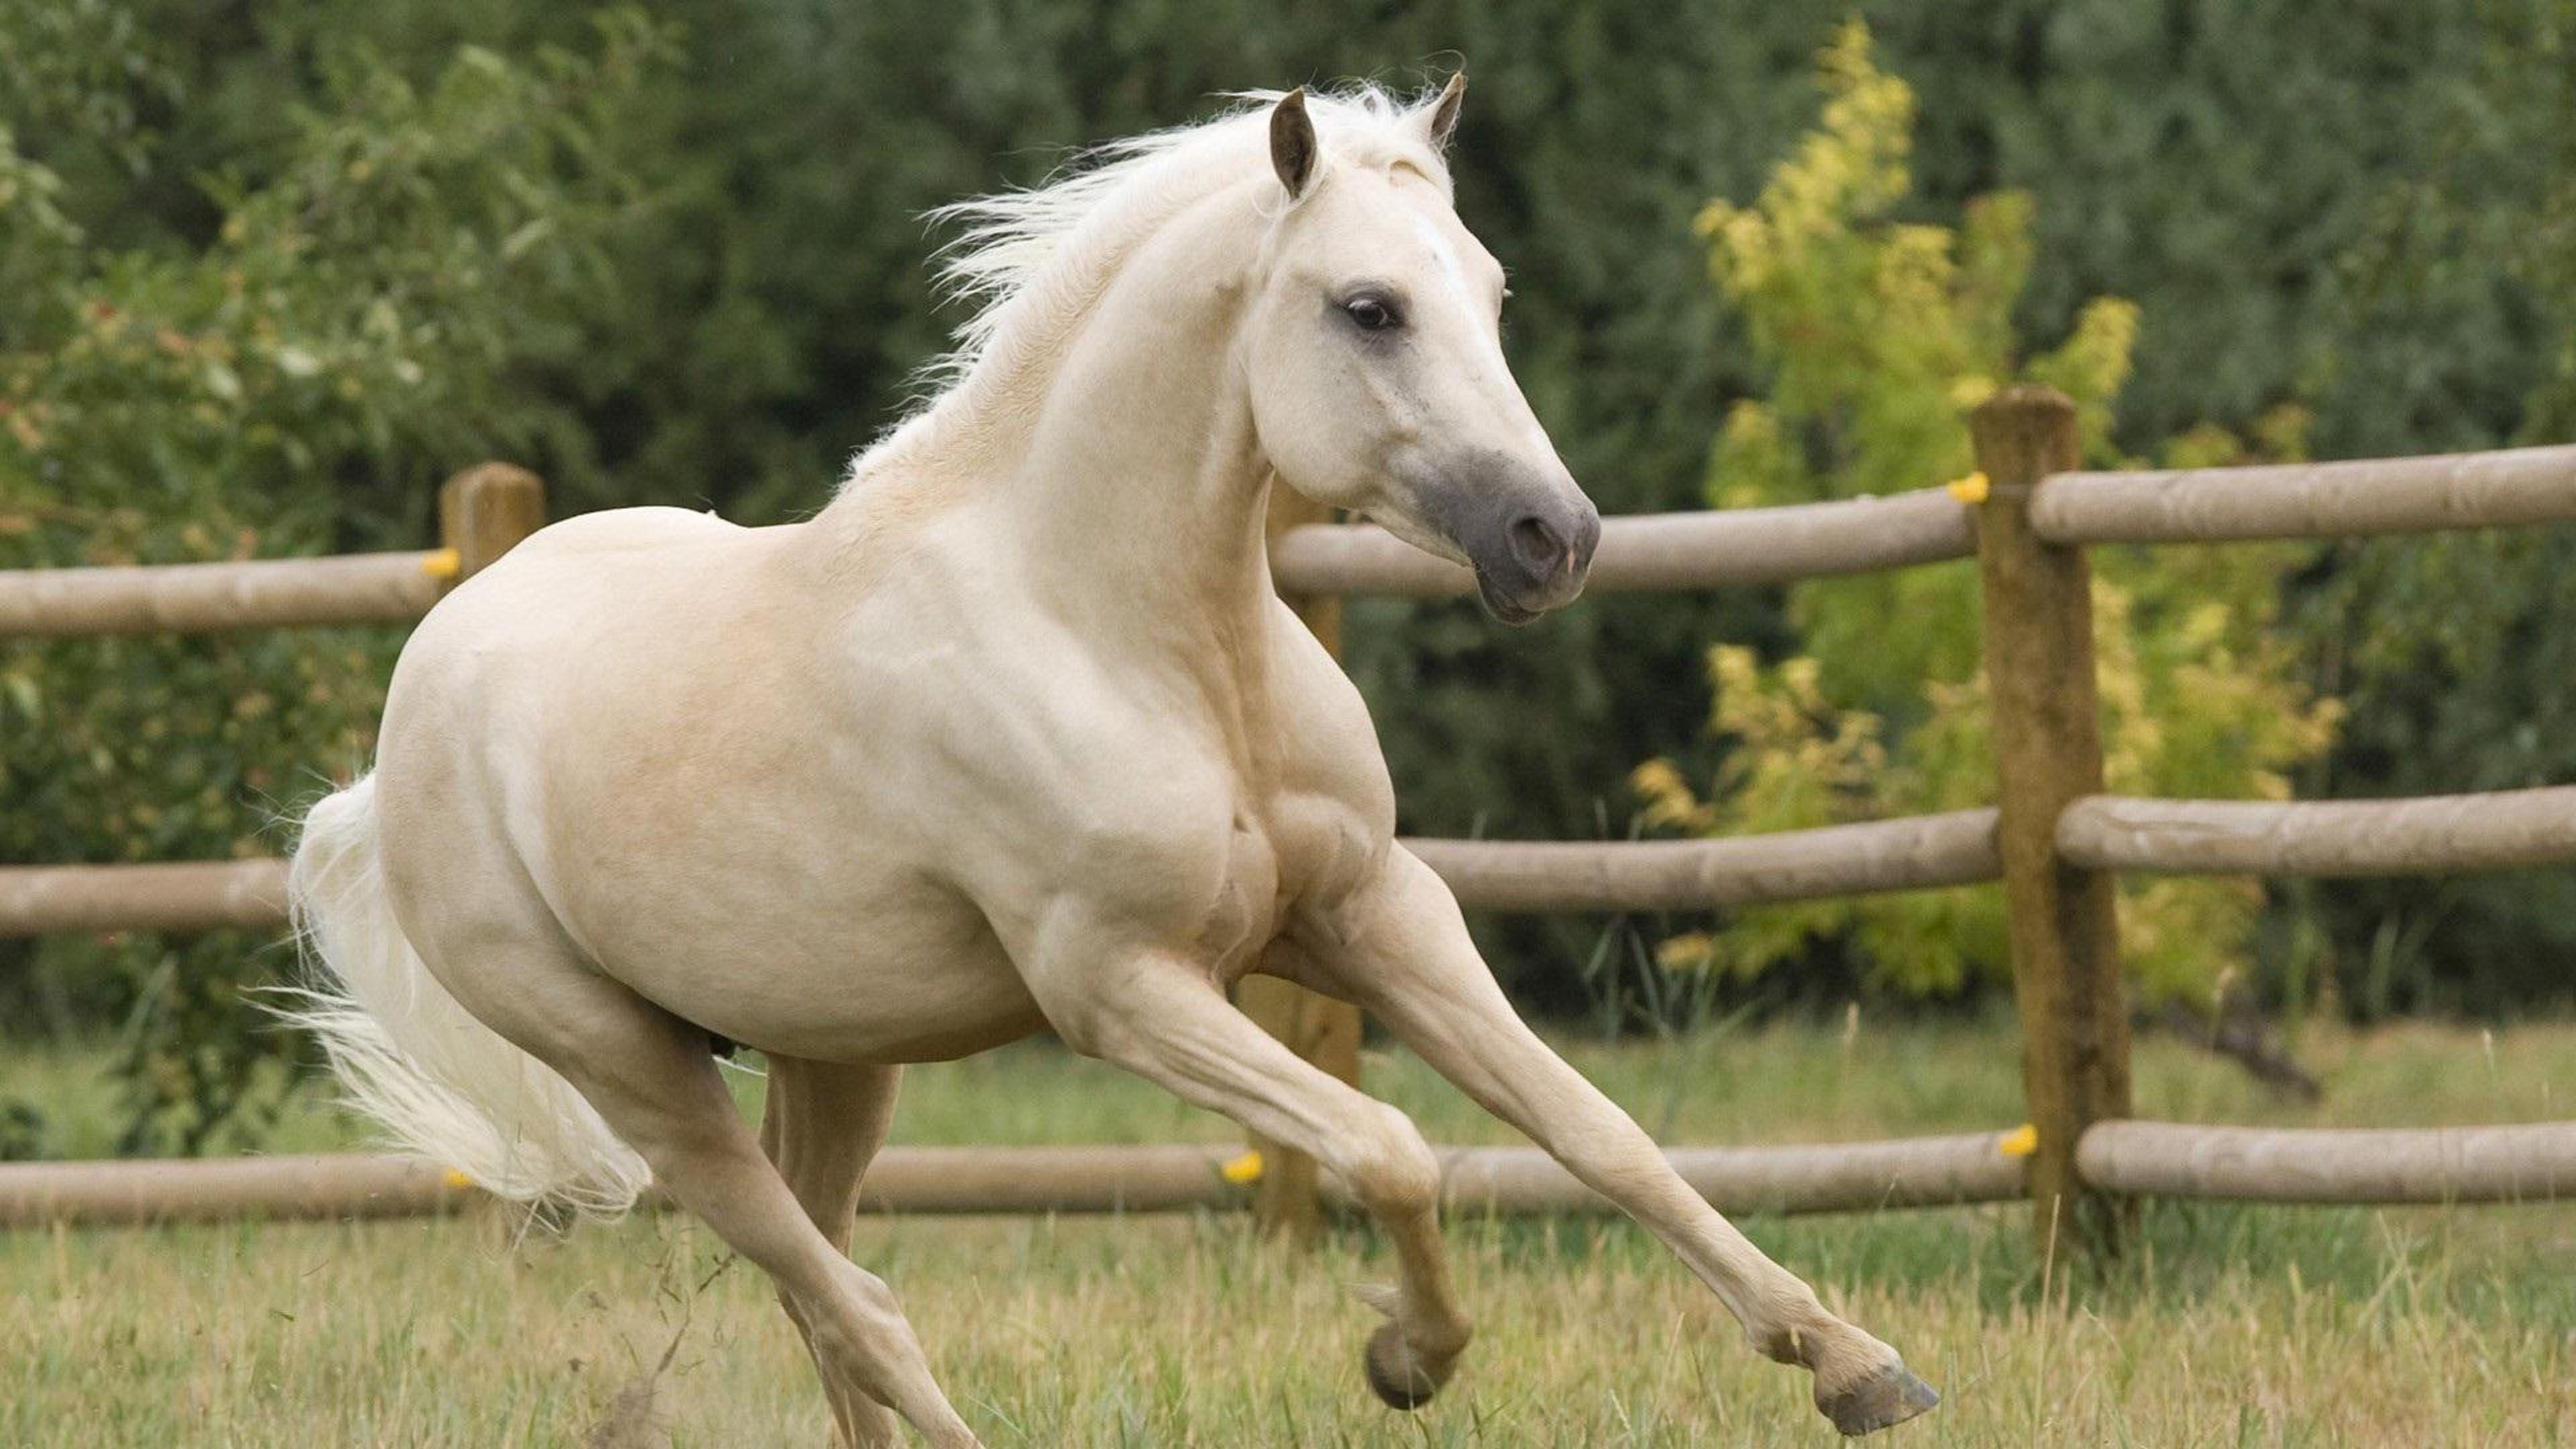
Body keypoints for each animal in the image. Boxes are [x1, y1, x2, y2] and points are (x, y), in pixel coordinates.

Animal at [285, 77, 1939, 1443]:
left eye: (1488, 291)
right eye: (1369, 309)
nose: (1554, 540)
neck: (1134, 640)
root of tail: (403, 731)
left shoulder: (1375, 914)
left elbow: (1604, 1135)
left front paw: (1857, 1366)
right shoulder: (1122, 987)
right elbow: (1393, 1146)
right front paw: (1408, 1359)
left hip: (834, 1053)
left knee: (821, 1291)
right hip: (630, 1069)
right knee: (854, 1304)